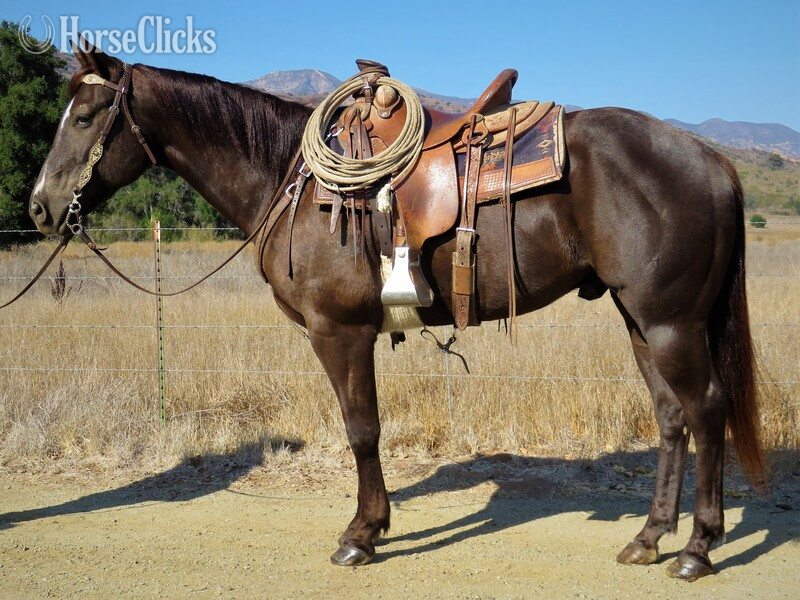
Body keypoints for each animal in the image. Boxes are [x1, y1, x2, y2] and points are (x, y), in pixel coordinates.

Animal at [28, 42, 766, 581]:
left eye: (86, 118)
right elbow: (366, 430)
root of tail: (711, 159)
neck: (290, 180)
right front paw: (372, 528)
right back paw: (649, 538)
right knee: (672, 417)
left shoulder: (339, 333)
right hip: (641, 320)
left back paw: (697, 549)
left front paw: (361, 534)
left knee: (705, 409)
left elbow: (362, 430)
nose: (38, 206)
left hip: (671, 323)